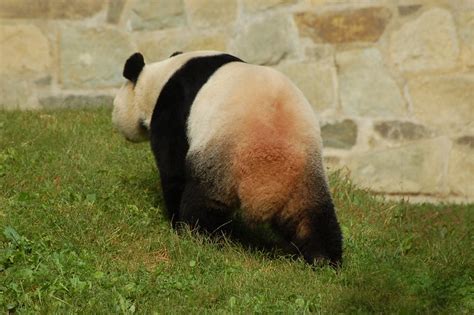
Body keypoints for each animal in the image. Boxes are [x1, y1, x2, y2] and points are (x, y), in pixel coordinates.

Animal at [113, 50, 342, 266]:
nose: (116, 123)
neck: (162, 75)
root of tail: (267, 184)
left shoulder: (174, 109)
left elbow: (172, 166)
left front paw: (174, 220)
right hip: (304, 175)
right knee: (313, 218)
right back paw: (325, 259)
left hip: (221, 163)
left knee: (203, 205)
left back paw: (198, 237)